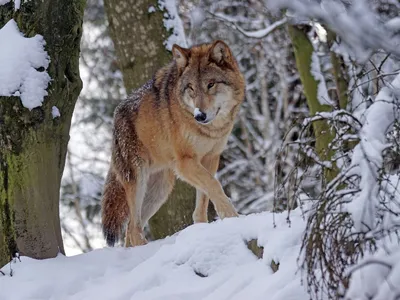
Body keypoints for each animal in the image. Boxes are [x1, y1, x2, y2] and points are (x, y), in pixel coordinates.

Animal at [101, 39, 245, 246]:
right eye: (191, 87)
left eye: (210, 84)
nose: (199, 115)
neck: (210, 130)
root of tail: (116, 115)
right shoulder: (185, 162)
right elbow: (214, 185)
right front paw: (232, 217)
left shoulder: (210, 159)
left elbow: (204, 199)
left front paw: (203, 229)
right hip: (138, 180)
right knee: (134, 228)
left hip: (160, 190)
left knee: (130, 229)